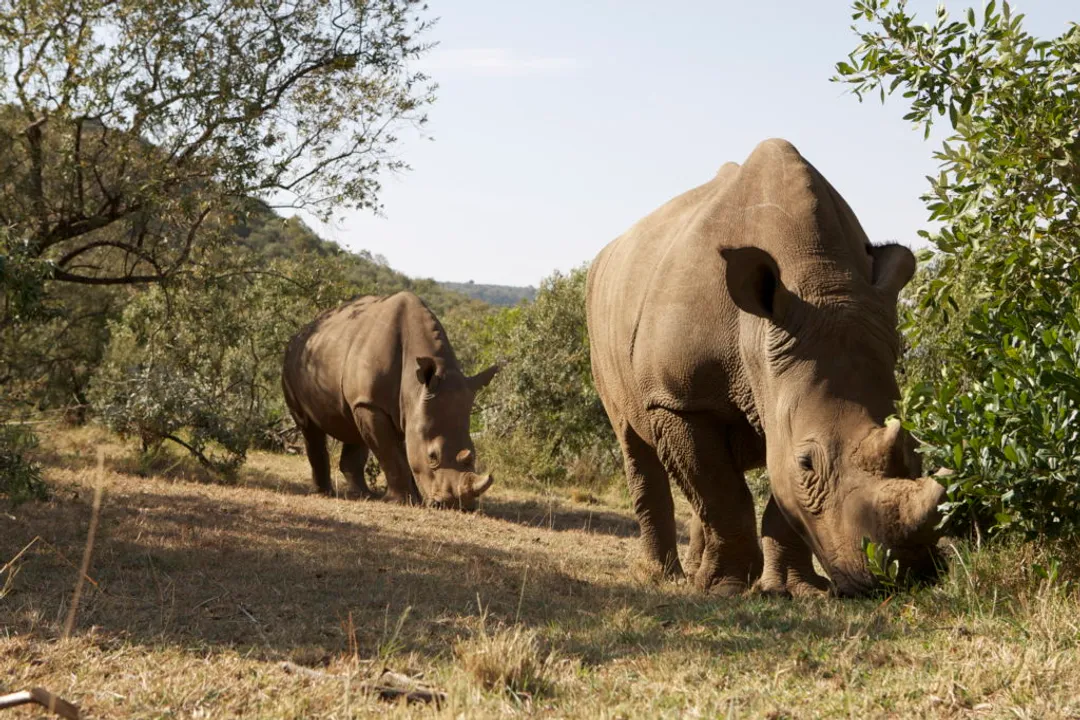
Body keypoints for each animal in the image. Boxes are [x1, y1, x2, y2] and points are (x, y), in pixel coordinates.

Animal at [282, 292, 498, 510]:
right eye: (432, 457)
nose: (456, 505)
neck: (415, 385)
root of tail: (299, 334)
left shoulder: (406, 408)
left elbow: (403, 452)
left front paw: (414, 499)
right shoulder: (373, 405)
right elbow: (391, 454)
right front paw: (401, 501)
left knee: (354, 427)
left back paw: (363, 495)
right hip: (293, 363)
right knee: (309, 427)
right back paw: (324, 493)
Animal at [586, 138, 945, 597]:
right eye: (808, 463)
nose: (907, 575)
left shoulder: (783, 389)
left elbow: (774, 494)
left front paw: (795, 590)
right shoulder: (678, 399)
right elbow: (723, 493)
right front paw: (724, 589)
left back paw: (694, 568)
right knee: (635, 444)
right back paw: (664, 576)